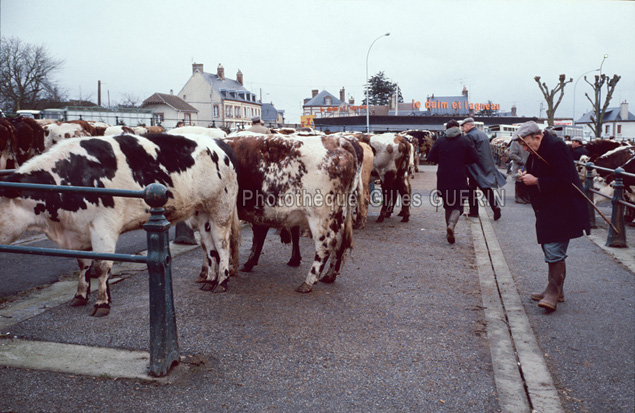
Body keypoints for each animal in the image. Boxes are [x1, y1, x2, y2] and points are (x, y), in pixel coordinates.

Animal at [0, 132, 241, 316]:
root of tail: (218, 143)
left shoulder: (104, 227)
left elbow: (102, 265)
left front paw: (102, 303)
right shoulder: (79, 232)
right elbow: (83, 264)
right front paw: (80, 295)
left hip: (221, 208)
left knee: (221, 244)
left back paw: (222, 281)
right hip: (201, 213)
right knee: (209, 246)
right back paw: (210, 280)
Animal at [225, 134, 360, 292]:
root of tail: (337, 140)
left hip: (320, 216)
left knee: (326, 244)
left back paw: (308, 281)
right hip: (338, 215)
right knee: (340, 242)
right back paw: (329, 276)